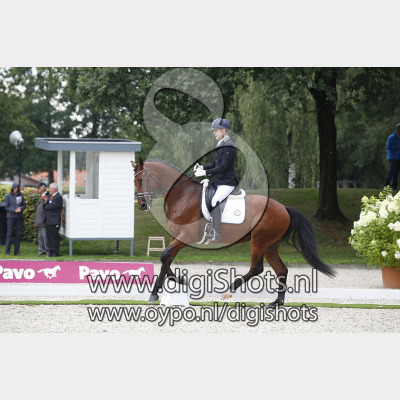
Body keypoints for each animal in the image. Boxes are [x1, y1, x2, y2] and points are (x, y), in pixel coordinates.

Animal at [131, 158, 336, 306]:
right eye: (134, 181)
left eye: (141, 180)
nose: (141, 205)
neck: (182, 195)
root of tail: (284, 208)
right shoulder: (175, 236)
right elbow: (166, 260)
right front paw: (175, 282)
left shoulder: (187, 236)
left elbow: (164, 256)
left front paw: (162, 289)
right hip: (270, 246)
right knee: (281, 270)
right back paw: (276, 303)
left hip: (259, 241)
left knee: (257, 268)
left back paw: (229, 290)